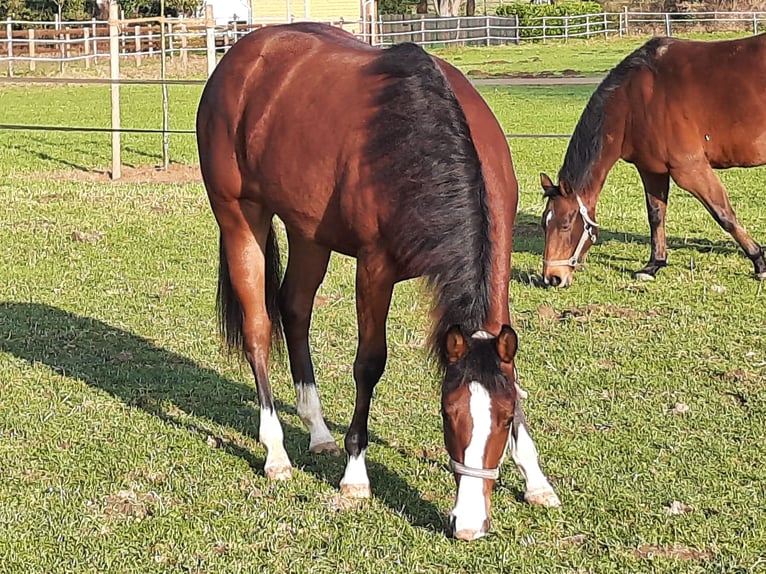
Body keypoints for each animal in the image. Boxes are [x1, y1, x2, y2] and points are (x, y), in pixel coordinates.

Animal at [196, 23, 559, 540]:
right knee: (259, 330)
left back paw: (318, 431)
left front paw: (535, 478)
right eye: (447, 414)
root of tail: (241, 54)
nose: (468, 524)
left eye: (506, 417)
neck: (419, 142)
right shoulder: (374, 268)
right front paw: (355, 477)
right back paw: (277, 452)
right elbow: (369, 364)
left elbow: (511, 368)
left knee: (295, 309)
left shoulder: (501, 256)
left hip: (309, 233)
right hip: (240, 217)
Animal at [539, 33, 766, 287]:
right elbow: (656, 214)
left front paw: (759, 262)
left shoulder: (690, 169)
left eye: (565, 224)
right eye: (544, 223)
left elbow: (724, 215)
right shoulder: (652, 170)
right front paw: (654, 264)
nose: (552, 278)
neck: (634, 100)